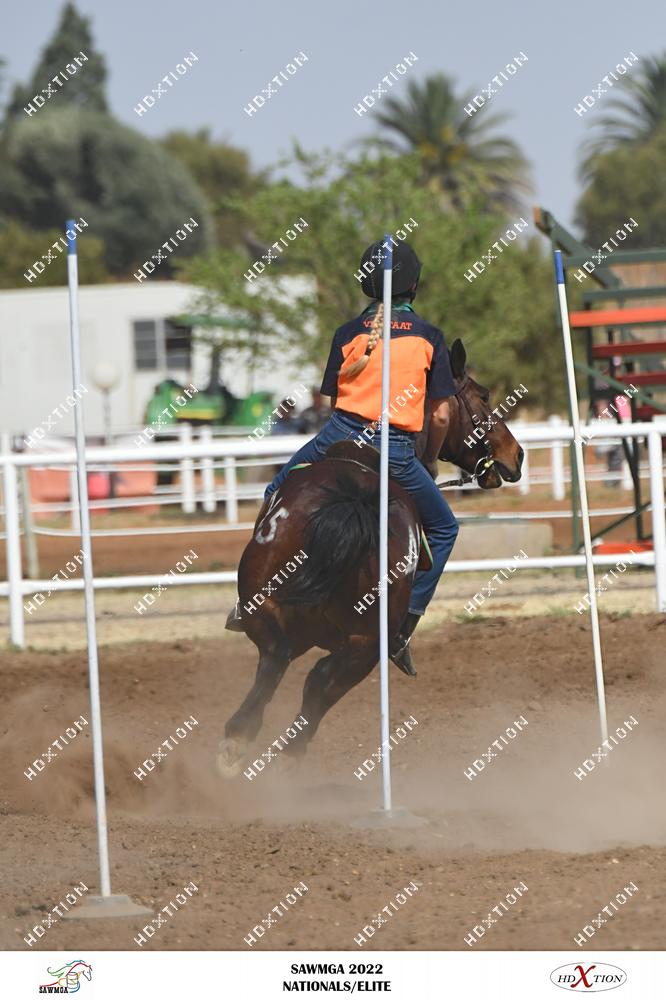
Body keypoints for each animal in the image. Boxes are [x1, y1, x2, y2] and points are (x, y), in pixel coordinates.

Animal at [217, 339, 524, 777]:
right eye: (483, 397)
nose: (516, 455)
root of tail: (353, 497)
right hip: (364, 648)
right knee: (316, 687)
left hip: (271, 613)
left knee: (275, 664)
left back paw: (238, 744)